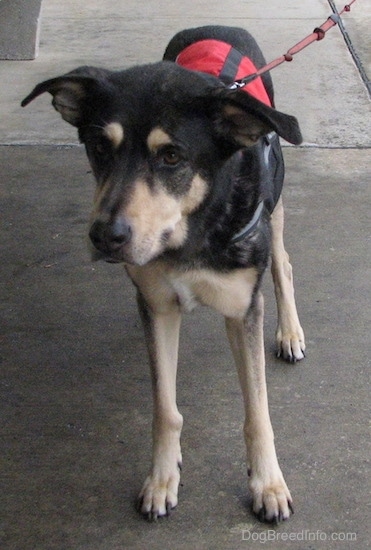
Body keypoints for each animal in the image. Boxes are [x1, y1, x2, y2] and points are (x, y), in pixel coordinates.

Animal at [24, 27, 308, 528]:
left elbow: (257, 411)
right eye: (100, 147)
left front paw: (268, 484)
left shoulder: (242, 310)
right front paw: (161, 479)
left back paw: (289, 332)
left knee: (282, 264)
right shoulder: (157, 306)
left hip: (273, 210)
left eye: (172, 156)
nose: (105, 237)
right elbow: (165, 407)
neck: (190, 231)